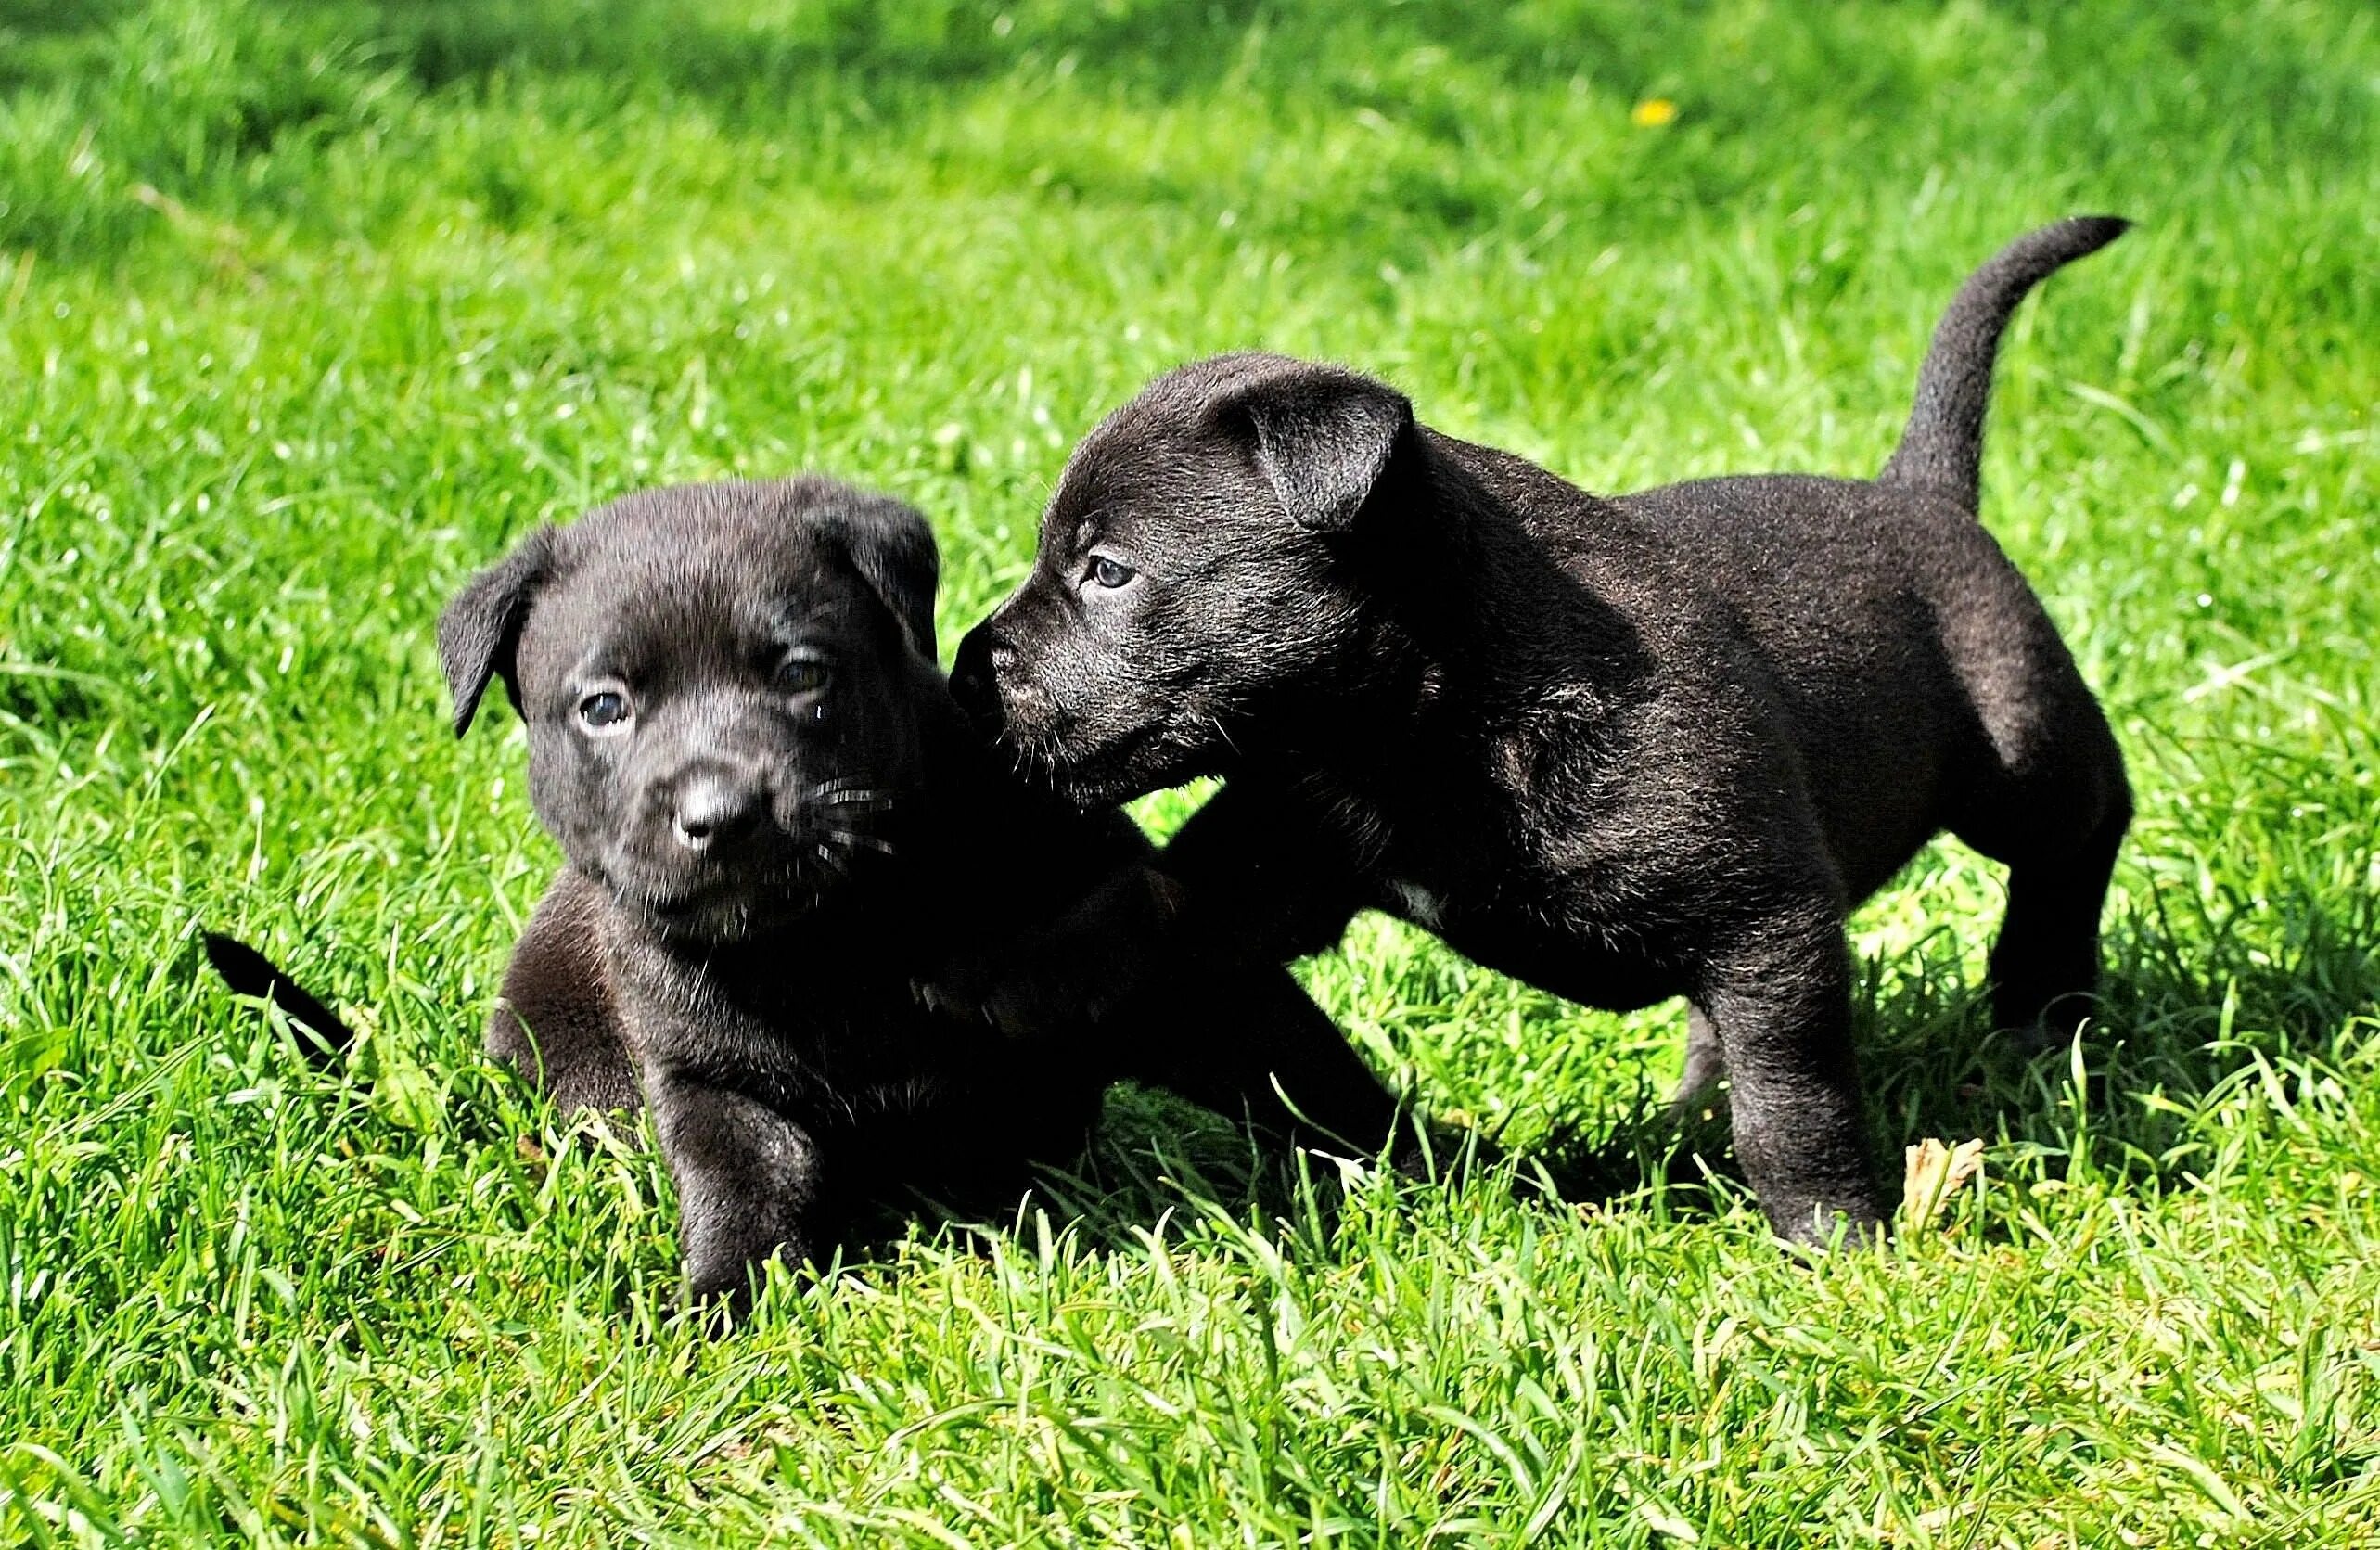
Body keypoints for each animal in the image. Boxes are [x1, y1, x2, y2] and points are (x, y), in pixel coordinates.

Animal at [406, 476, 1399, 1313]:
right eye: (604, 708)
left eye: (803, 673)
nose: (721, 814)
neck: (832, 930)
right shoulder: (710, 1076)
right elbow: (739, 1186)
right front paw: (723, 1306)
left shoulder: (1150, 964)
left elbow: (1305, 1074)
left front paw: (1427, 1167)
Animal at [947, 217, 2142, 1248]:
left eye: (1107, 570)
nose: (966, 663)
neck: (1422, 736)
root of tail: (1921, 492)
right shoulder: (1273, 854)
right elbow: (1144, 909)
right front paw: (1010, 987)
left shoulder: (1767, 921)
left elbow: (1792, 1103)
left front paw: (1833, 1238)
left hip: (2018, 748)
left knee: (2082, 830)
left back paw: (2043, 1006)